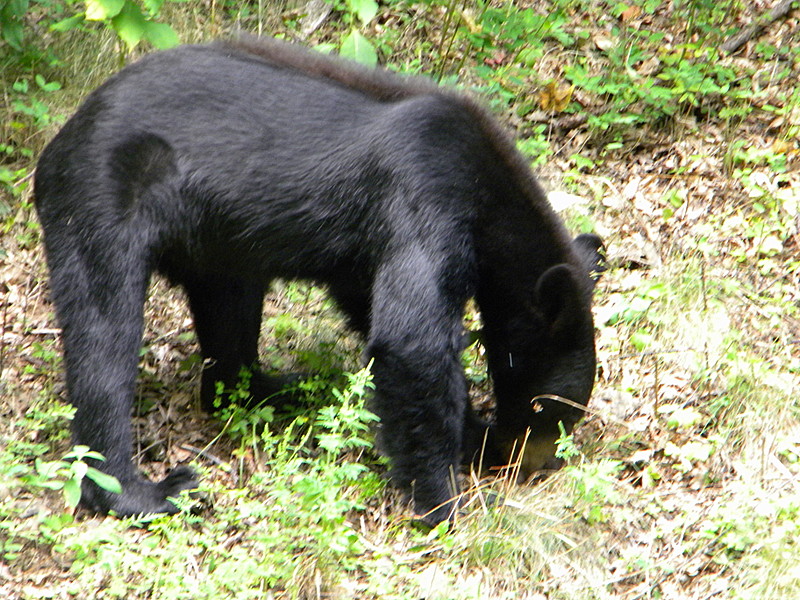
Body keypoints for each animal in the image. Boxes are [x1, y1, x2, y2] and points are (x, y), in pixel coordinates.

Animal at [34, 38, 604, 524]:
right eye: (545, 407)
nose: (535, 463)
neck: (487, 190)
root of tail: (66, 131)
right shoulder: (424, 194)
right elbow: (411, 340)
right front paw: (445, 498)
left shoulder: (365, 255)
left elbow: (373, 309)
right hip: (102, 197)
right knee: (104, 336)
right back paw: (142, 490)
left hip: (221, 241)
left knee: (230, 312)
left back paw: (276, 388)